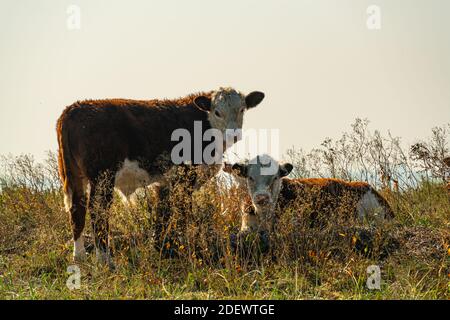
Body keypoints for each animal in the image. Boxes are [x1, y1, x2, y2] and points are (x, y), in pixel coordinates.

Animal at [57, 87, 266, 264]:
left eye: (242, 109)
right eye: (217, 112)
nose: (234, 135)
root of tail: (73, 110)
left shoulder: (166, 180)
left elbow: (162, 215)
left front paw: (160, 248)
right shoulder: (186, 176)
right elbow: (182, 213)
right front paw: (186, 244)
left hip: (75, 175)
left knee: (77, 210)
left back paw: (79, 256)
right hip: (102, 176)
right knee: (97, 210)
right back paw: (104, 259)